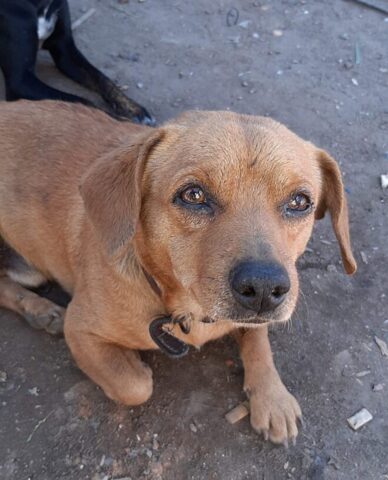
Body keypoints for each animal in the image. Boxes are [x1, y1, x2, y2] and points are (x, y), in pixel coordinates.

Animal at [0, 99, 354, 444]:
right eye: (193, 195)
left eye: (299, 202)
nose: (264, 289)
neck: (191, 312)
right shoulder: (79, 328)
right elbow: (134, 386)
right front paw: (136, 367)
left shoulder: (257, 318)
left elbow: (259, 341)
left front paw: (273, 399)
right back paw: (39, 309)